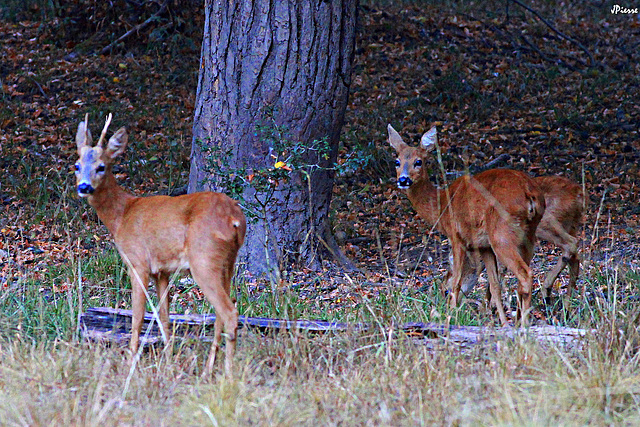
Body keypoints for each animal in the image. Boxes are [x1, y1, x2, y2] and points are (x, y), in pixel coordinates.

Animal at [73, 114, 245, 378]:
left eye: (101, 166)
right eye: (77, 165)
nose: (84, 187)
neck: (122, 215)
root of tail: (235, 219)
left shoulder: (138, 262)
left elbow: (137, 317)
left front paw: (130, 363)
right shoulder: (161, 271)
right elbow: (164, 317)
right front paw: (168, 360)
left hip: (204, 259)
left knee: (230, 312)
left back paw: (228, 375)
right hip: (228, 261)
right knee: (221, 312)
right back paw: (208, 370)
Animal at [384, 125, 544, 326]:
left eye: (418, 161)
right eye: (397, 162)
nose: (403, 180)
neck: (442, 206)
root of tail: (529, 194)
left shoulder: (457, 237)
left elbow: (457, 282)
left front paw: (451, 316)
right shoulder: (483, 246)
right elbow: (494, 285)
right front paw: (502, 322)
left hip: (501, 234)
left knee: (525, 274)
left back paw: (524, 325)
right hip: (529, 234)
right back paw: (518, 322)